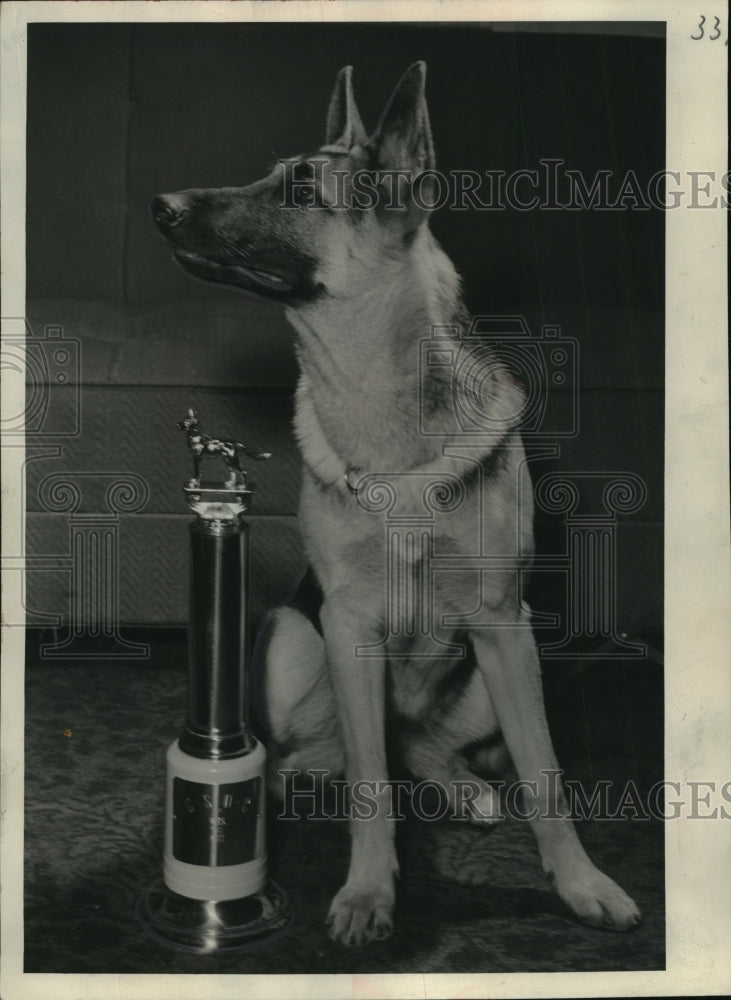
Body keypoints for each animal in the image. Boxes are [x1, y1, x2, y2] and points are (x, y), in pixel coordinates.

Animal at [153, 62, 640, 944]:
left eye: (300, 189)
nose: (159, 204)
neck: (381, 405)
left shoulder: (501, 623)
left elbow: (545, 775)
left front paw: (580, 883)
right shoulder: (346, 624)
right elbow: (370, 786)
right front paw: (367, 892)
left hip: (500, 669)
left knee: (423, 751)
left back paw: (458, 783)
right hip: (291, 638)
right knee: (338, 755)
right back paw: (286, 788)